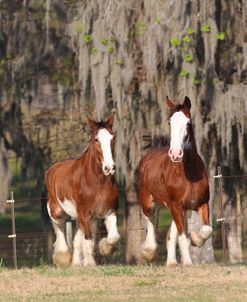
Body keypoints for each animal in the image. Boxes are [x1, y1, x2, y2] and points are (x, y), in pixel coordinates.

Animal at [46, 115, 120, 266]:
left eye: (112, 138)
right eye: (96, 139)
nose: (109, 167)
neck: (98, 183)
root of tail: (52, 170)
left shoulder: (109, 211)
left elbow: (113, 236)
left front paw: (104, 249)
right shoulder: (84, 214)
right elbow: (88, 240)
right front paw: (90, 264)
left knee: (75, 240)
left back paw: (75, 264)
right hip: (55, 210)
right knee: (59, 228)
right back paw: (62, 257)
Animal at [139, 97, 212, 266]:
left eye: (188, 122)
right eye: (169, 122)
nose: (176, 154)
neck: (189, 173)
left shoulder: (201, 204)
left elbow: (206, 230)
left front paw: (196, 239)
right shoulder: (177, 205)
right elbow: (183, 238)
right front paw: (188, 263)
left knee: (170, 235)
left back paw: (171, 262)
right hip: (149, 202)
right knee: (150, 219)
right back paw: (149, 252)